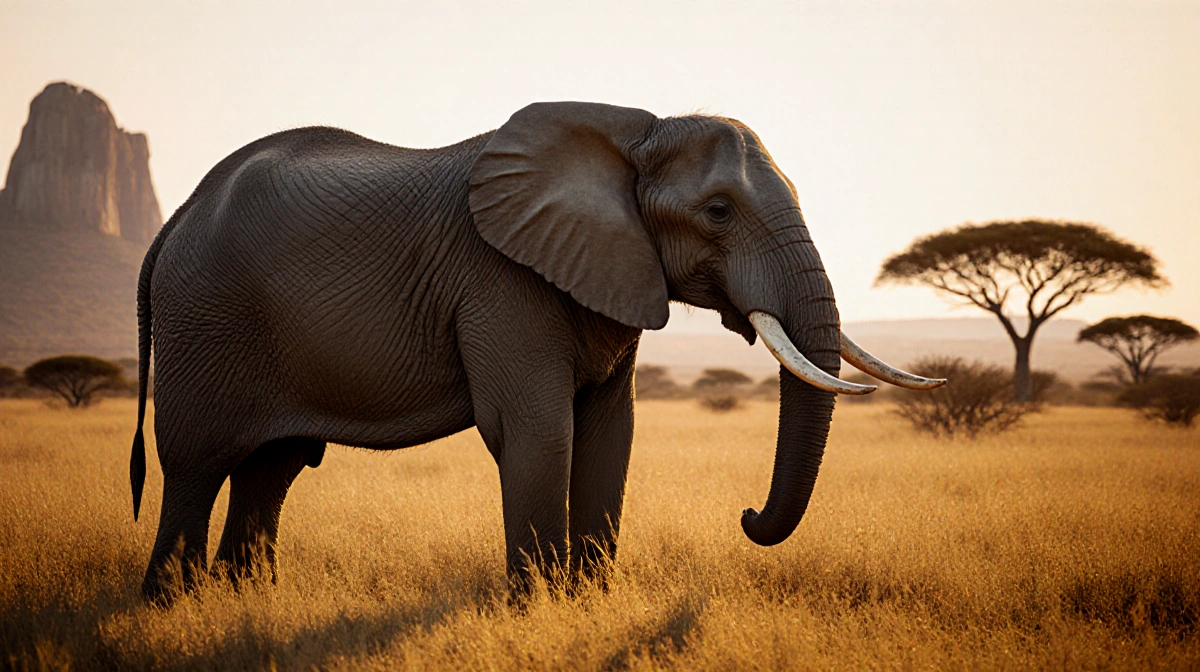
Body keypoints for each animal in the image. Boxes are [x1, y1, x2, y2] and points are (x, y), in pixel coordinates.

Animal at [129, 101, 943, 601]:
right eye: (717, 210)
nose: (745, 515)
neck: (631, 136)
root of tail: (172, 222)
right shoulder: (501, 281)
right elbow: (538, 431)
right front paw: (537, 609)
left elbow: (611, 434)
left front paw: (590, 603)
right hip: (205, 319)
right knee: (196, 464)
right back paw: (172, 607)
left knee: (273, 467)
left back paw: (244, 601)